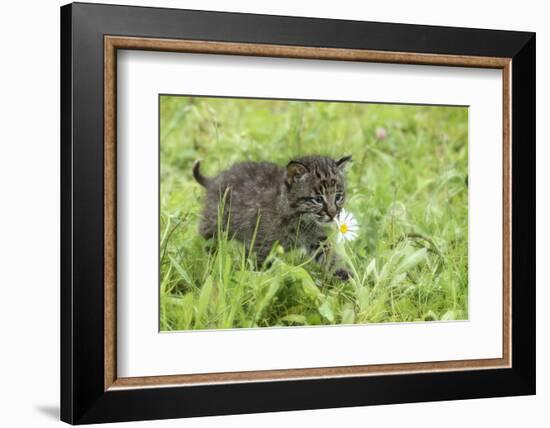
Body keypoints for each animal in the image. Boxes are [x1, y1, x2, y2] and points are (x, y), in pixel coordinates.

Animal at [195, 155, 354, 280]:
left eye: (338, 197)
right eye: (318, 199)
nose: (333, 214)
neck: (300, 219)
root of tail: (215, 179)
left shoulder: (318, 240)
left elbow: (331, 257)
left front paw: (349, 277)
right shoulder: (261, 246)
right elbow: (258, 271)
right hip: (215, 223)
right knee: (206, 239)